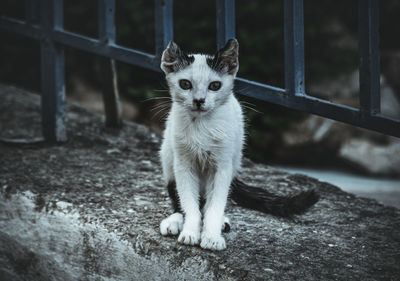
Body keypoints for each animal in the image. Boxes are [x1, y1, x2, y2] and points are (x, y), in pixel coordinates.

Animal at [158, 38, 318, 249]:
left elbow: (216, 203)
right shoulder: (183, 164)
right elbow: (188, 202)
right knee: (178, 196)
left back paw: (220, 222)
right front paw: (191, 230)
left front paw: (211, 236)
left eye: (214, 86)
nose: (199, 100)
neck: (202, 125)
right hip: (168, 155)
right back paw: (175, 220)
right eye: (185, 84)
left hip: (234, 157)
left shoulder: (223, 165)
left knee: (210, 199)